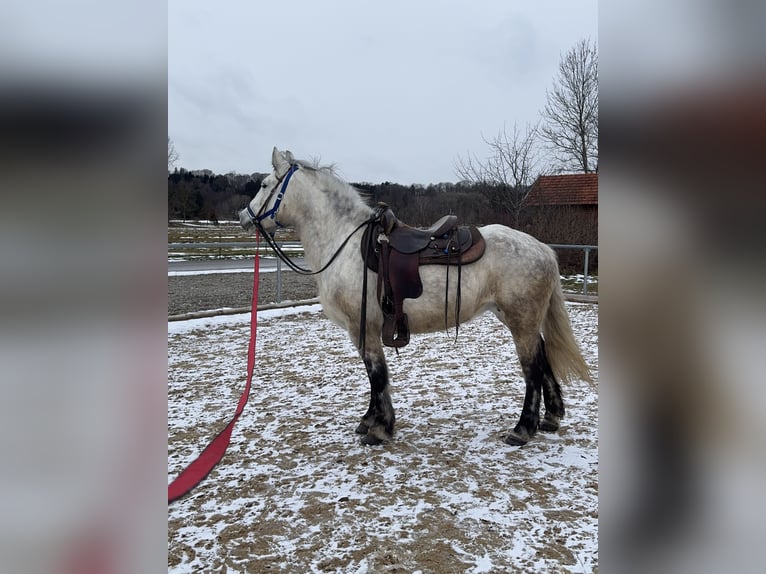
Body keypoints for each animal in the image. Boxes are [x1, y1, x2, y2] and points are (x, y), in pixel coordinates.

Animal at [240, 147, 592, 446]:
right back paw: (551, 418)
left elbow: (376, 374)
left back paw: (522, 429)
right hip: (517, 318)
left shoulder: (363, 327)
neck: (345, 242)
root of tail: (542, 248)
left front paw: (380, 428)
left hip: (521, 320)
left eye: (265, 184)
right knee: (543, 358)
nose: (244, 217)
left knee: (532, 368)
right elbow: (374, 375)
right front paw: (369, 421)